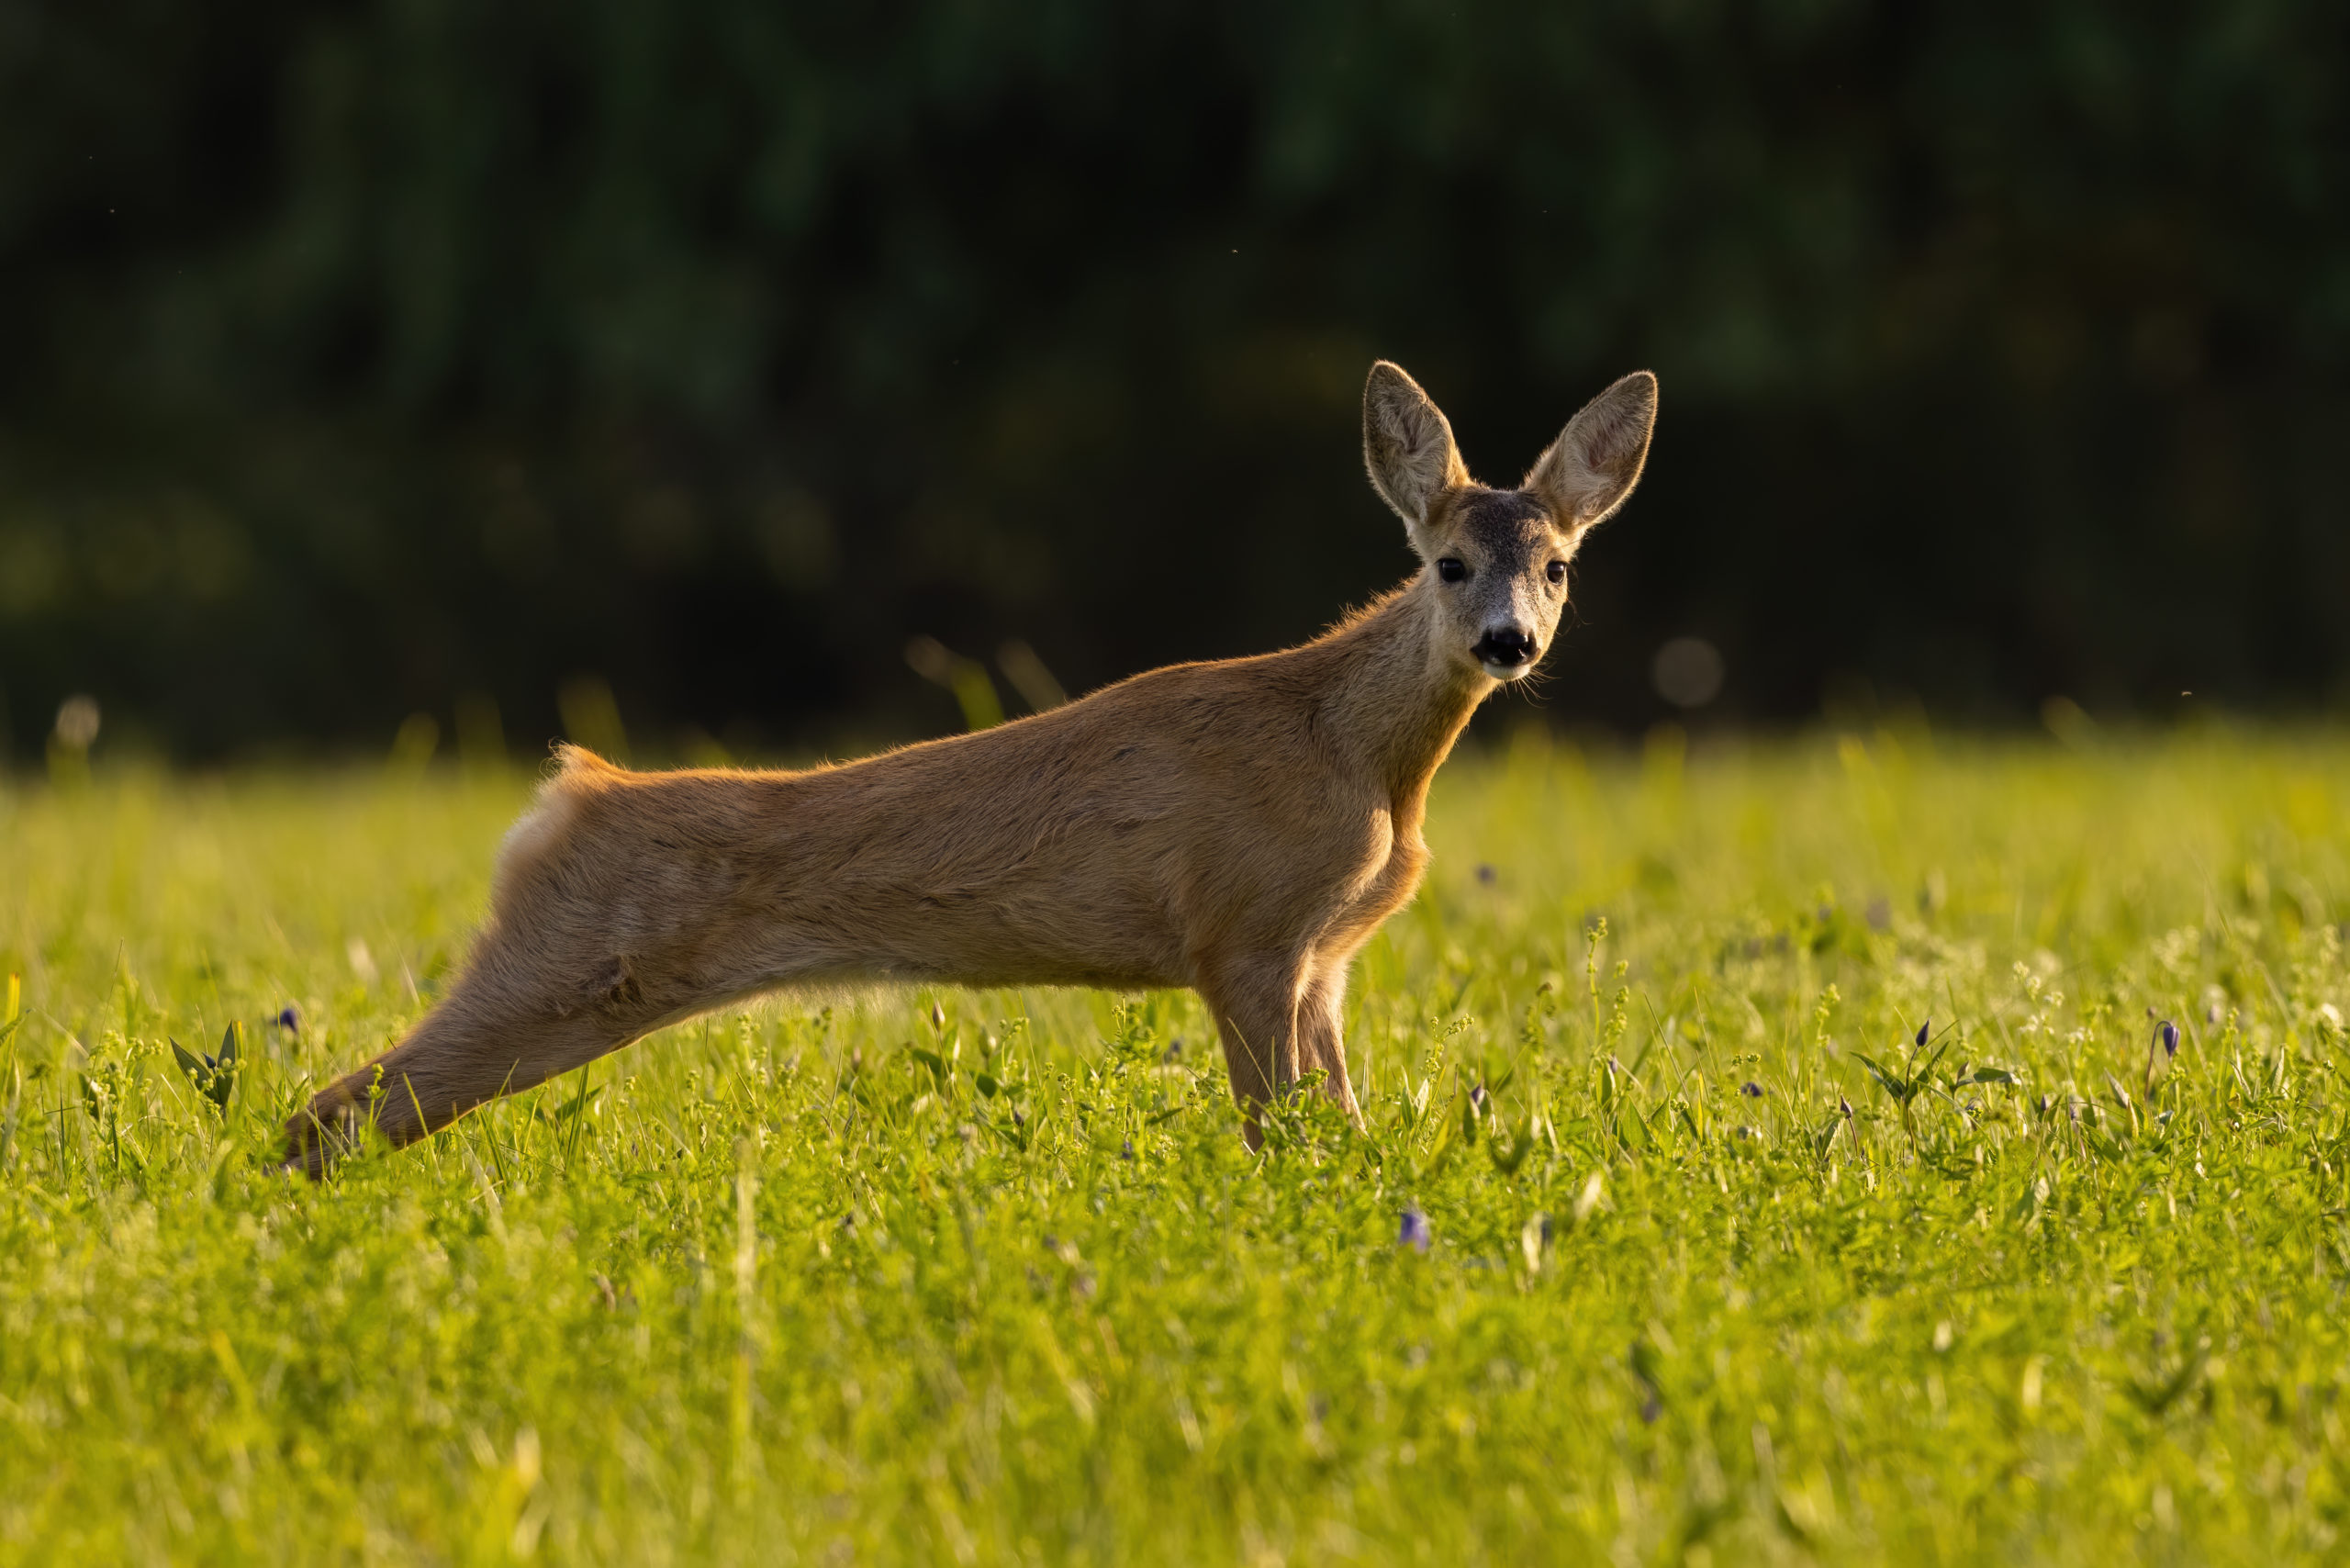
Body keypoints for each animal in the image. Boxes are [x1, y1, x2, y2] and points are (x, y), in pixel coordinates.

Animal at [288, 364, 1654, 1175]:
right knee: (330, 1108)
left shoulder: (1324, 957)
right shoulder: (1243, 932)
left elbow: (1343, 1124)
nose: (1508, 642)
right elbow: (1278, 1132)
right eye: (1446, 564)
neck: (1356, 753)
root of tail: (567, 797)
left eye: (1557, 566)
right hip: (567, 969)